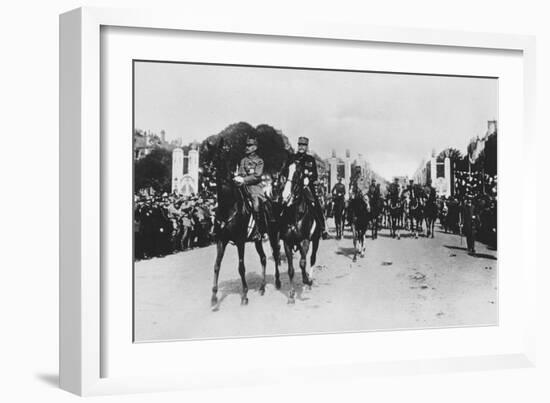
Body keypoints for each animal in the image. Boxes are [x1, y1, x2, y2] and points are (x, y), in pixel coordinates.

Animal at [210, 139, 282, 310]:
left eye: (221, 155)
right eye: (211, 154)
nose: (208, 171)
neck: (228, 206)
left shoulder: (240, 241)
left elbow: (241, 267)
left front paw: (244, 296)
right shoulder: (221, 240)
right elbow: (216, 265)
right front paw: (214, 298)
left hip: (273, 234)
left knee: (275, 255)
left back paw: (277, 282)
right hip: (257, 240)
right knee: (263, 258)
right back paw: (262, 287)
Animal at [282, 161, 322, 304]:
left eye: (298, 174)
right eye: (285, 172)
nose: (285, 196)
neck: (296, 214)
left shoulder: (305, 241)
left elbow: (303, 263)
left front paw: (307, 281)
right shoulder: (287, 243)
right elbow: (291, 270)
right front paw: (291, 295)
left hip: (315, 240)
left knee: (312, 259)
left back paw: (308, 282)